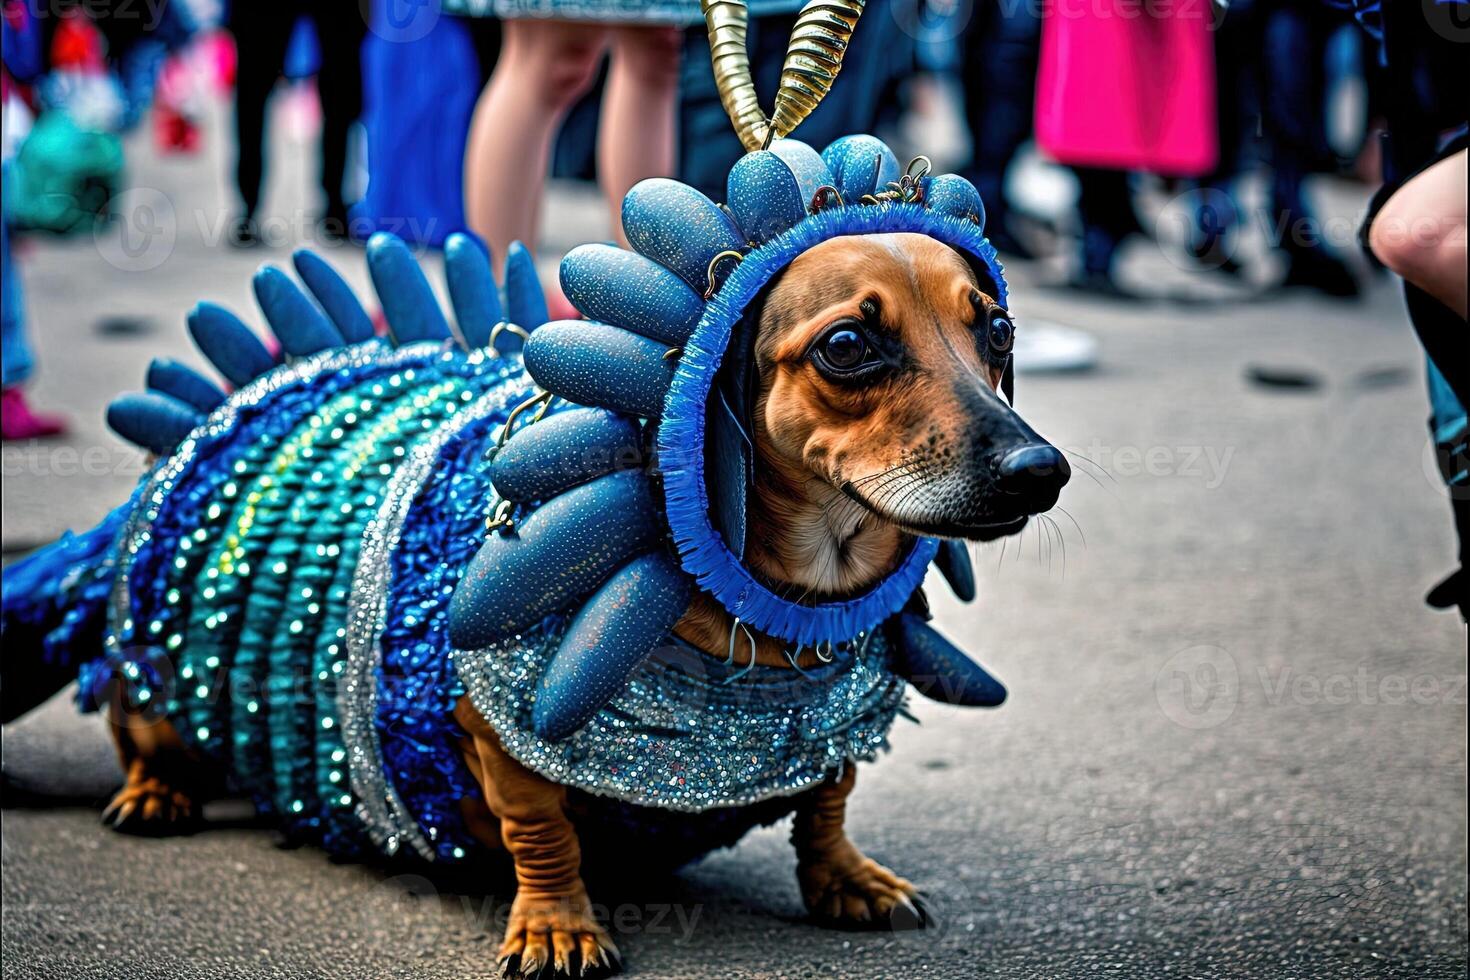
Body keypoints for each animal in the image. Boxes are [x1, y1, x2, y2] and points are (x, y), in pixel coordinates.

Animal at [103, 233, 1070, 975]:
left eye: (998, 328)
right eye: (846, 346)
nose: (1042, 470)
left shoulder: (835, 712)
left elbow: (831, 792)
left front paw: (845, 877)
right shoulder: (500, 730)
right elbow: (543, 831)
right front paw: (557, 923)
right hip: (146, 684)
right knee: (141, 736)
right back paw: (154, 794)